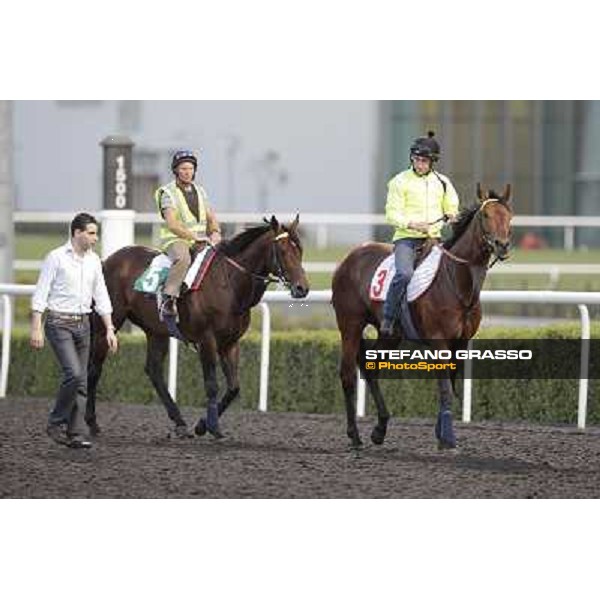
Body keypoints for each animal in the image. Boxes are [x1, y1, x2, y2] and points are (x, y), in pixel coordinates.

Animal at [85, 214, 310, 436]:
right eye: (282, 250)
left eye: (299, 249)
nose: (302, 288)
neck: (229, 284)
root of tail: (107, 260)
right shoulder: (206, 340)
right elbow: (211, 385)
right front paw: (212, 426)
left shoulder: (230, 343)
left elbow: (234, 387)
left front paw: (202, 425)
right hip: (109, 322)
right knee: (95, 368)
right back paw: (92, 422)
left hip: (157, 331)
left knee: (154, 370)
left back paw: (179, 422)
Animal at [330, 183, 512, 450]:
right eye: (486, 215)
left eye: (509, 216)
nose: (502, 245)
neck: (456, 282)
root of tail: (349, 257)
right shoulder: (439, 341)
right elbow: (444, 387)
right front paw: (447, 437)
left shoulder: (461, 343)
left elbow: (451, 384)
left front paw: (441, 431)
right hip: (350, 324)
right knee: (347, 375)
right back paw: (354, 435)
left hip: (389, 334)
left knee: (371, 368)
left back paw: (380, 429)